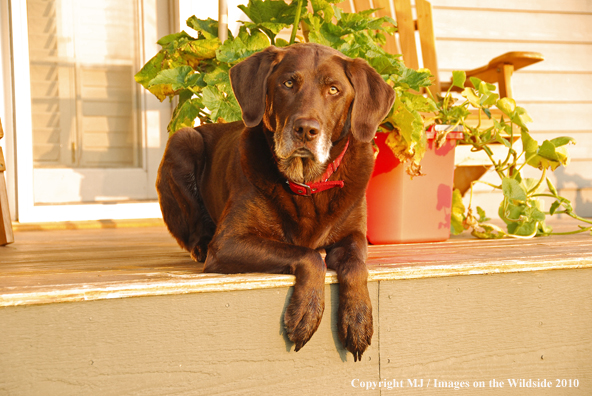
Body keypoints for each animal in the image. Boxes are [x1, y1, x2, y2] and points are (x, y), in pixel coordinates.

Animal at [157, 41, 396, 360]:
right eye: (288, 83)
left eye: (334, 90)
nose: (306, 130)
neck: (307, 182)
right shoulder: (229, 242)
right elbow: (308, 256)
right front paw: (306, 313)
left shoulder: (354, 235)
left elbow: (357, 266)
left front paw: (358, 320)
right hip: (183, 140)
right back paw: (200, 245)